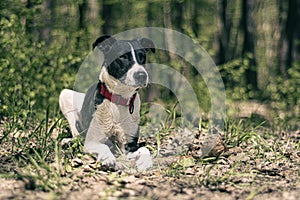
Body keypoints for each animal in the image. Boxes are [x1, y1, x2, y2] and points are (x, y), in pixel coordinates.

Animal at [59, 35, 156, 170]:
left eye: (142, 56)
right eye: (122, 57)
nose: (142, 75)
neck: (119, 98)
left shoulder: (128, 145)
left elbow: (144, 148)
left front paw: (145, 162)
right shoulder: (92, 141)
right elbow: (104, 146)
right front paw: (108, 159)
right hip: (65, 95)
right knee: (76, 133)